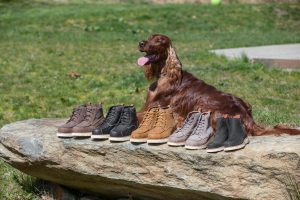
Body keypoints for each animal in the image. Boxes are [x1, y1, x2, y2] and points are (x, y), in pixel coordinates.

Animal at [137, 34, 298, 136]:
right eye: (150, 37)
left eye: (159, 40)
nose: (141, 43)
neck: (165, 73)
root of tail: (246, 117)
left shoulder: (153, 109)